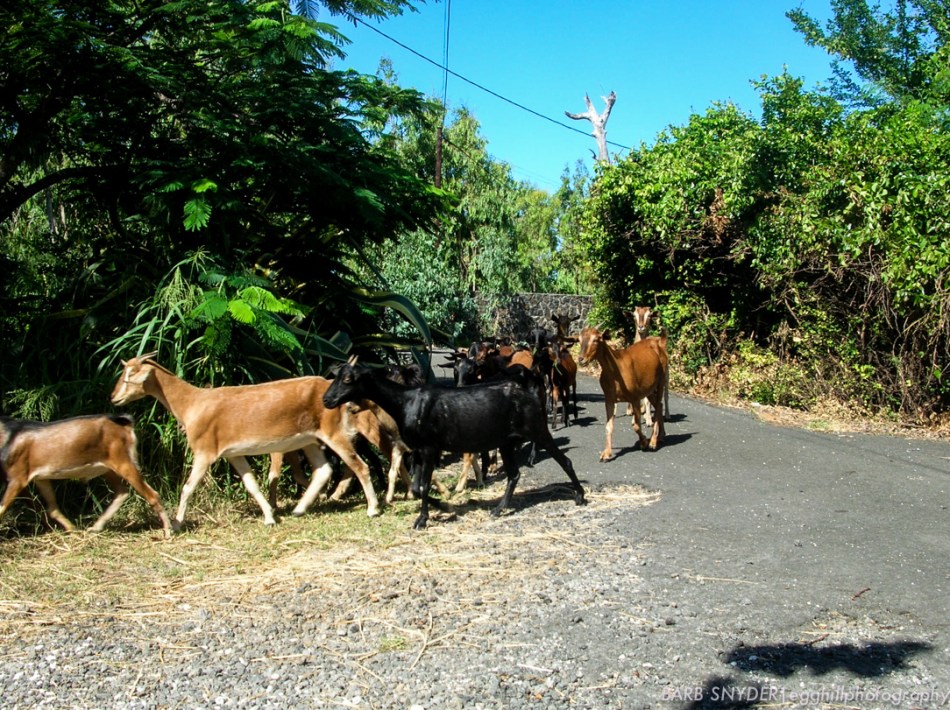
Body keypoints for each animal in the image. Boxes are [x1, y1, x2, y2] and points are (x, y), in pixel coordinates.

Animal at [0, 414, 173, 537]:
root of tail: (126, 423)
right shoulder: (40, 477)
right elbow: (51, 508)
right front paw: (72, 529)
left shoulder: (18, 477)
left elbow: (2, 507)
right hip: (108, 468)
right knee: (122, 492)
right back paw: (95, 527)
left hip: (123, 462)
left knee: (152, 494)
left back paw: (168, 531)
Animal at [110, 353, 381, 529]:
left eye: (129, 374)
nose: (114, 398)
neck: (192, 404)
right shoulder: (233, 454)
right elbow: (251, 484)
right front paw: (270, 518)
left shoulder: (204, 452)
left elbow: (187, 487)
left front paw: (176, 524)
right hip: (310, 439)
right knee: (323, 470)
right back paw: (299, 508)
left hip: (333, 433)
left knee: (359, 466)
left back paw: (373, 509)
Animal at [323, 359, 586, 529]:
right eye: (335, 377)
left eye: (348, 378)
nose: (327, 400)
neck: (406, 402)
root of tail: (531, 392)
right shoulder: (419, 451)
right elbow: (417, 487)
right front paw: (442, 505)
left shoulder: (429, 448)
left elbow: (424, 486)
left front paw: (423, 519)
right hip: (506, 442)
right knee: (514, 475)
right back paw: (499, 509)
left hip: (537, 429)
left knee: (565, 460)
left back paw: (580, 496)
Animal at [577, 326, 667, 460]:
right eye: (579, 339)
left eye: (596, 340)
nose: (581, 359)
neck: (616, 371)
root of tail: (660, 343)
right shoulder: (609, 399)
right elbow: (608, 426)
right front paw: (606, 453)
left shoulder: (635, 397)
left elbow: (636, 425)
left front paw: (644, 442)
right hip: (648, 388)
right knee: (659, 405)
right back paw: (661, 436)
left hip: (661, 379)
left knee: (659, 405)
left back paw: (653, 441)